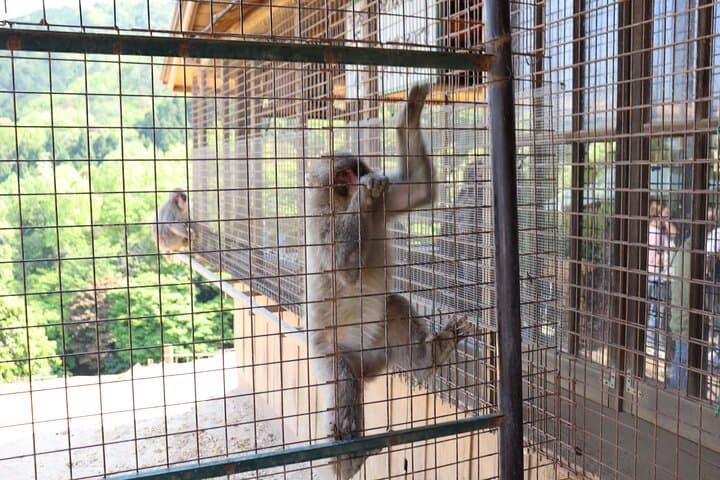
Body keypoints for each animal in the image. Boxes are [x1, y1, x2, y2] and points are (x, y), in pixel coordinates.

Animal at [304, 84, 471, 480]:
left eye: (355, 170)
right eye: (344, 177)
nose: (359, 181)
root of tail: (368, 367)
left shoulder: (388, 201)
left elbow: (419, 188)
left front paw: (408, 112)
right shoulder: (318, 223)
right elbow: (343, 268)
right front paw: (366, 194)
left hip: (381, 341)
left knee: (394, 306)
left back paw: (430, 357)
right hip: (330, 353)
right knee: (344, 384)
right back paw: (345, 458)